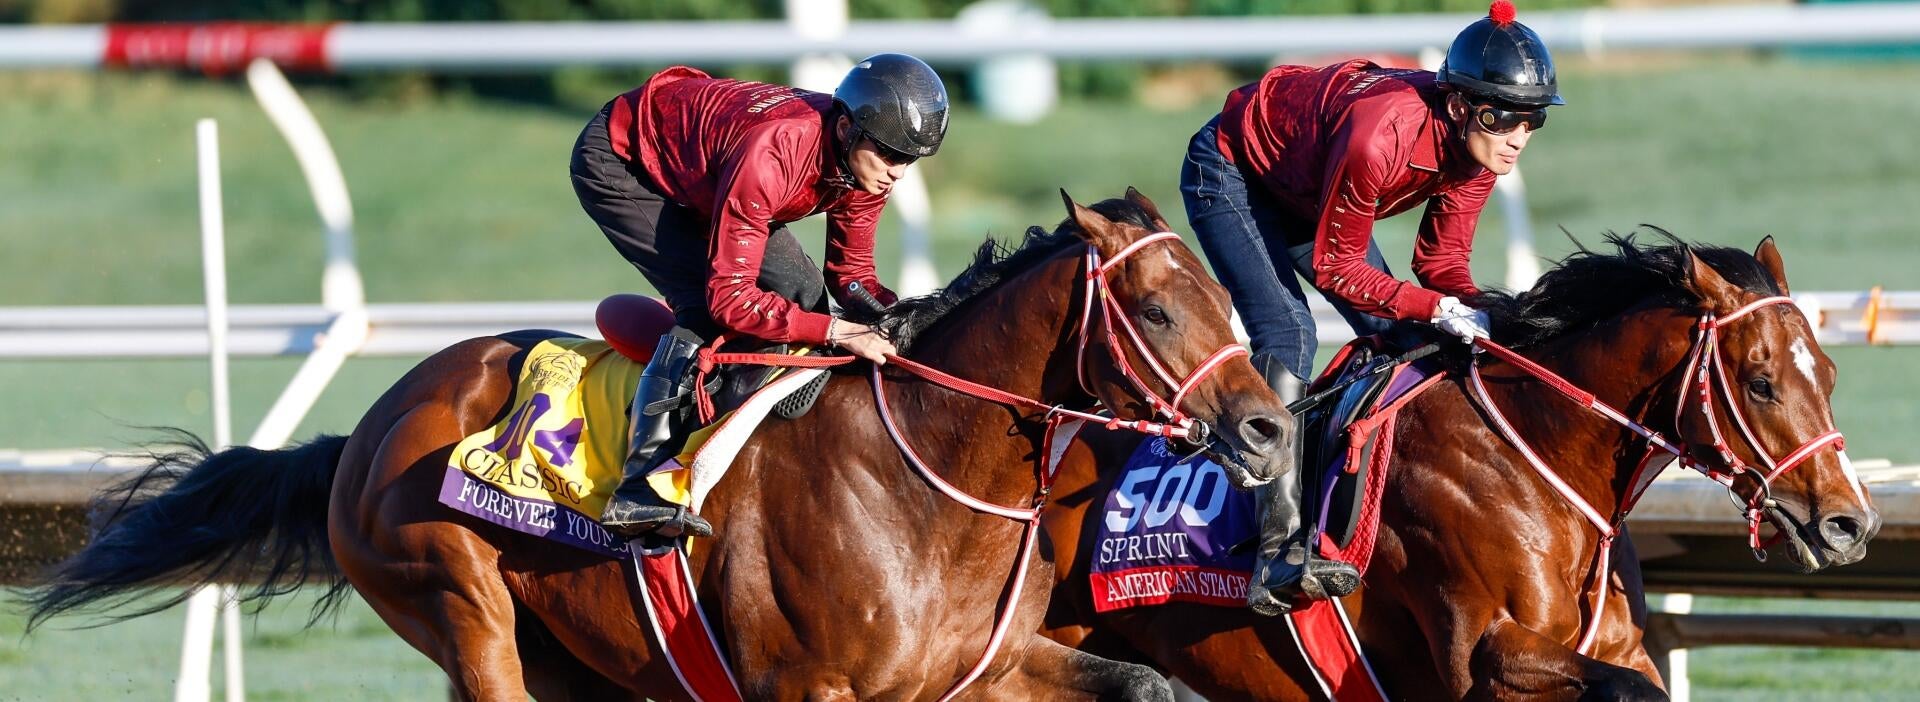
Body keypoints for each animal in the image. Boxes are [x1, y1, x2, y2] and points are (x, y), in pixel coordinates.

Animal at [25, 189, 1296, 701]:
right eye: (1161, 310)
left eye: (1220, 296)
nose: (1268, 425)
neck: (928, 485)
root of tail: (372, 426)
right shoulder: (805, 688)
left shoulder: (976, 674)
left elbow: (1146, 682)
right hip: (460, 604)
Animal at [1039, 234, 1879, 701]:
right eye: (1761, 381)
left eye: (1833, 374)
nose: (1850, 522)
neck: (1534, 455)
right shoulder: (1483, 654)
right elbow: (1625, 689)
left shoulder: (1616, 644)